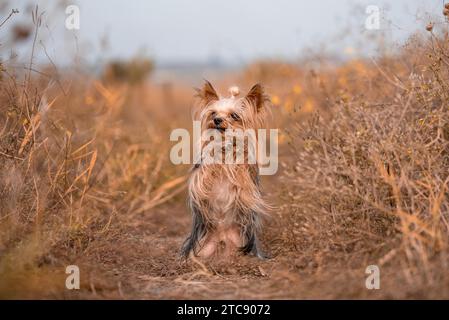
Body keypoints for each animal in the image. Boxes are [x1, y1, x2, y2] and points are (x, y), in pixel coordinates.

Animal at [181, 80, 270, 260]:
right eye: (213, 113)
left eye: (234, 116)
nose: (216, 120)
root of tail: (222, 239)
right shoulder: (201, 175)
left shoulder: (247, 178)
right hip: (203, 248)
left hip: (239, 244)